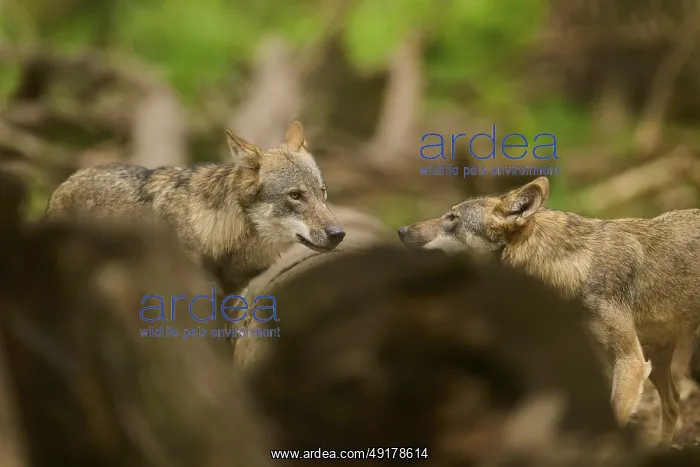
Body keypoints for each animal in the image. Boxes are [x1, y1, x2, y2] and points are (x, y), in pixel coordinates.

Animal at [398, 176, 700, 445]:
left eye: (452, 219)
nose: (401, 231)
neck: (573, 266)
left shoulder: (630, 361)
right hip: (657, 359)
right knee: (673, 404)